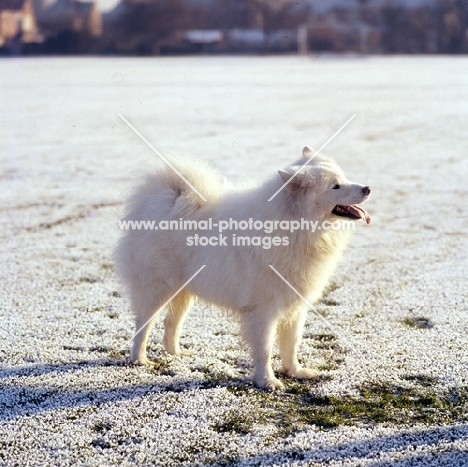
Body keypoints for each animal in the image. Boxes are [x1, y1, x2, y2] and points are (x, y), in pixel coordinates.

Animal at [115, 148, 372, 390]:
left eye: (344, 178)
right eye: (335, 186)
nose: (368, 188)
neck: (295, 226)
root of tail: (165, 199)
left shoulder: (295, 306)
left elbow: (291, 344)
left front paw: (295, 371)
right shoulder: (262, 311)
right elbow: (265, 349)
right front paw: (267, 382)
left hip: (185, 291)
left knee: (171, 323)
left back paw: (177, 353)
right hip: (157, 289)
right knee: (143, 326)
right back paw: (139, 360)